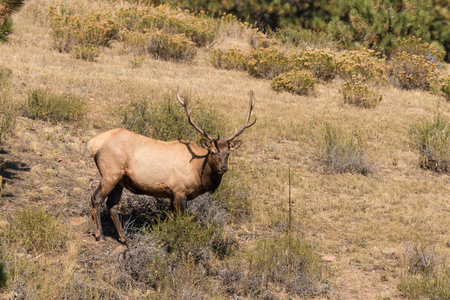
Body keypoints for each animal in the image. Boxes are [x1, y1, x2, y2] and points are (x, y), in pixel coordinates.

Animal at [88, 90, 256, 243]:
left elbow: (168, 219)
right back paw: (99, 235)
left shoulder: (171, 194)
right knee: (96, 198)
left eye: (228, 153)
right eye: (213, 152)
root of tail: (93, 143)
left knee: (112, 204)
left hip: (120, 180)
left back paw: (125, 238)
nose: (223, 168)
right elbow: (180, 220)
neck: (197, 172)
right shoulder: (180, 190)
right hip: (111, 172)